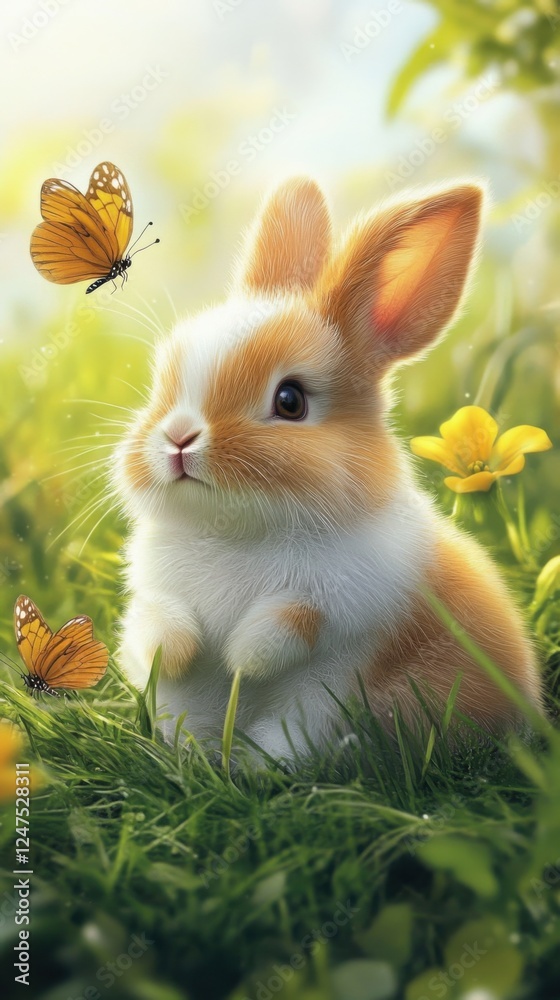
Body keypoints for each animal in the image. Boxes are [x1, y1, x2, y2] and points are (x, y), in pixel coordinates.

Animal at [115, 176, 542, 764]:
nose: (178, 438)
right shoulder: (155, 590)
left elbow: (299, 621)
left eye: (291, 400)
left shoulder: (350, 595)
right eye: (164, 382)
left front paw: (242, 658)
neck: (235, 532)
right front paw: (180, 652)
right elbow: (153, 621)